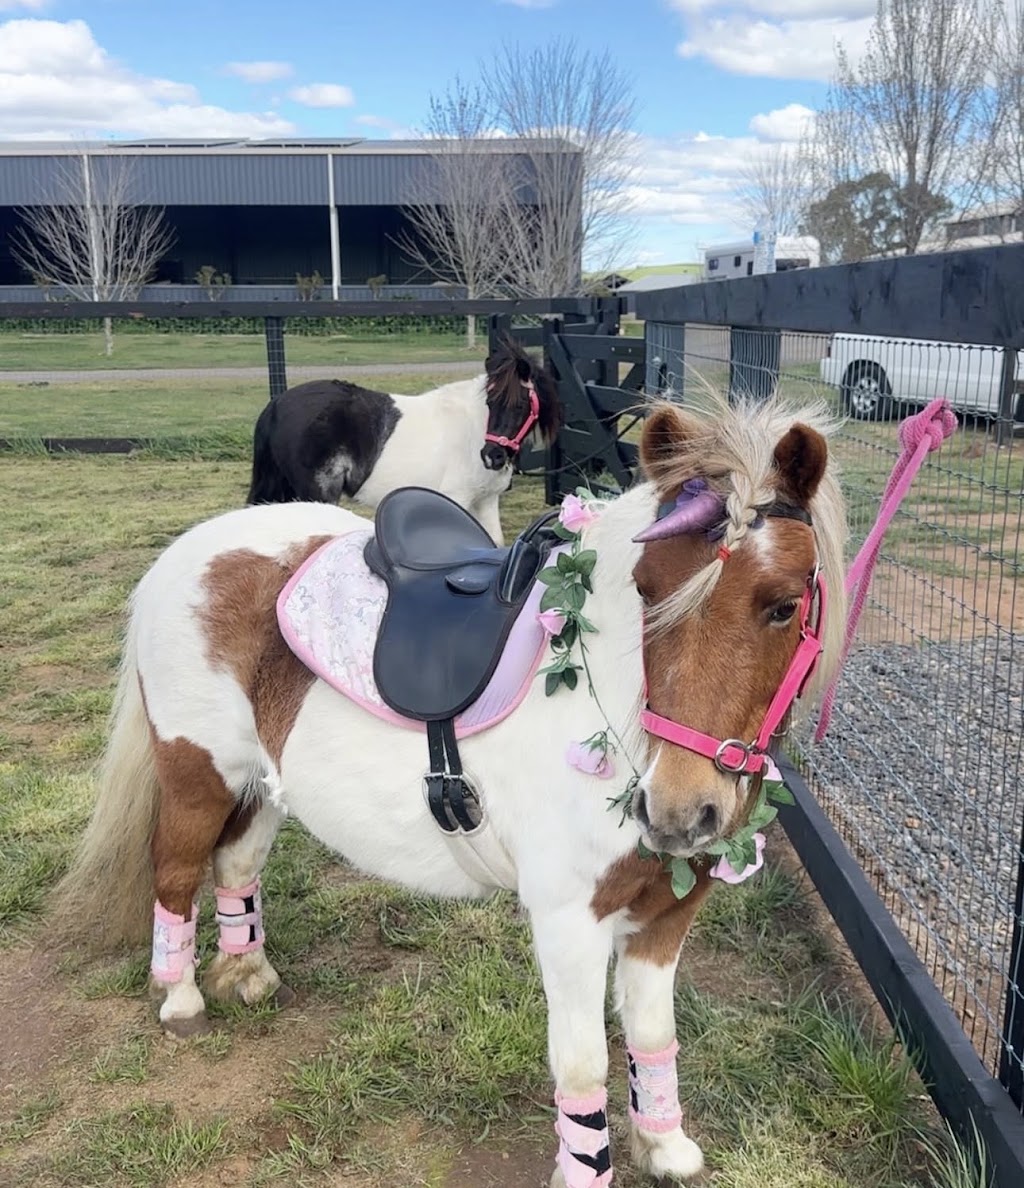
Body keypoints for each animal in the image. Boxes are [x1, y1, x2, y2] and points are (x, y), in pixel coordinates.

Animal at [56, 393, 847, 1186]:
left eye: (783, 605)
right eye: (646, 590)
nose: (679, 812)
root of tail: (191, 550)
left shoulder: (667, 916)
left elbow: (653, 1033)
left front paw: (665, 1145)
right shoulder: (569, 922)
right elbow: (582, 1066)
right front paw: (588, 1167)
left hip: (262, 783)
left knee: (236, 864)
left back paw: (247, 972)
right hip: (200, 775)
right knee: (175, 871)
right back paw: (181, 998)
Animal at [245, 336, 561, 545]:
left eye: (520, 405)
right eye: (490, 402)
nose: (492, 456)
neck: (472, 429)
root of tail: (277, 404)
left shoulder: (486, 500)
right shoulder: (456, 498)